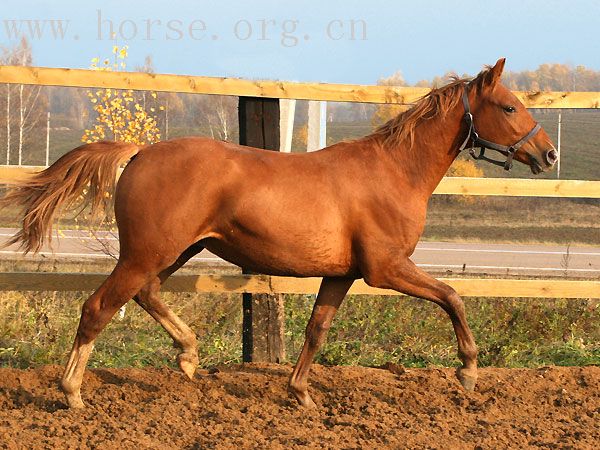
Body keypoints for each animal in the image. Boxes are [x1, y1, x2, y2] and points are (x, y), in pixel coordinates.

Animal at [2, 59, 556, 408]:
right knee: (99, 307)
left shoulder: (343, 274)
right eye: (509, 107)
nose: (548, 154)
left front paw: (302, 393)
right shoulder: (386, 269)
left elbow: (316, 330)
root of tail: (138, 152)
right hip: (147, 252)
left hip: (174, 251)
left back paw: (189, 357)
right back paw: (73, 393)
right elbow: (452, 296)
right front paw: (468, 371)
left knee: (145, 294)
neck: (394, 171)